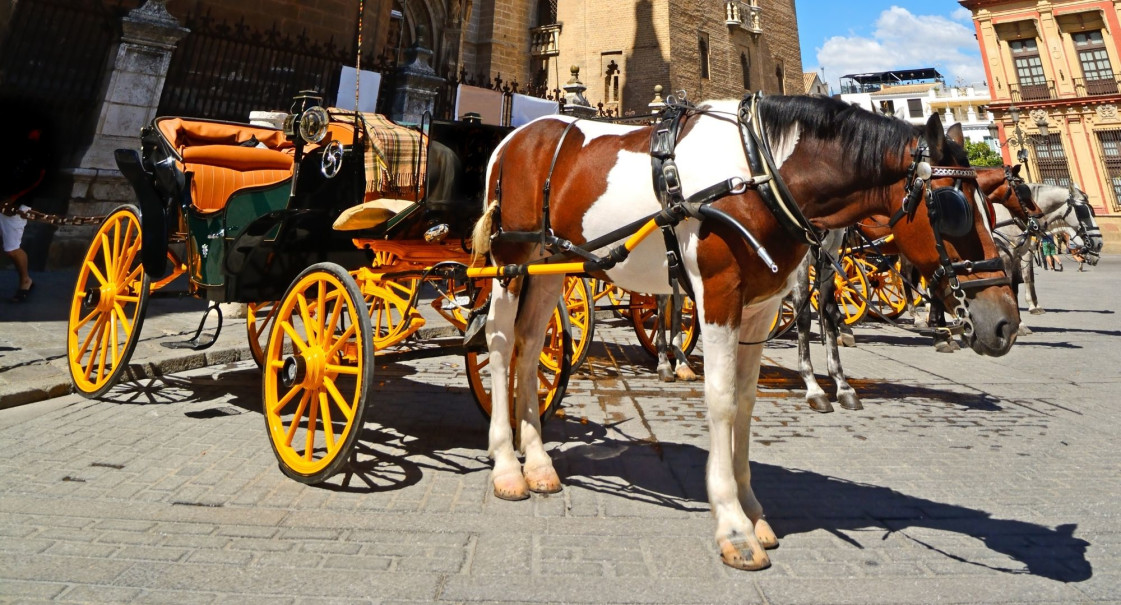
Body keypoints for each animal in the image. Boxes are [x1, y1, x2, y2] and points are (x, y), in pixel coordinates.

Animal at [464, 95, 1017, 571]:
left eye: (990, 208)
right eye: (953, 210)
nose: (1005, 323)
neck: (761, 171)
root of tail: (514, 137)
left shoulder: (761, 306)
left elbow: (747, 402)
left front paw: (753, 512)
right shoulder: (718, 295)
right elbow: (722, 399)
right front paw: (731, 524)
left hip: (550, 264)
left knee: (531, 347)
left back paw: (538, 463)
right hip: (509, 262)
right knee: (499, 343)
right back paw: (507, 465)